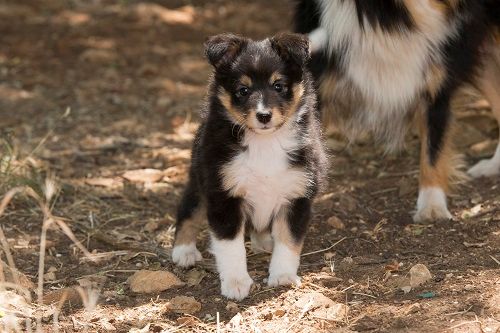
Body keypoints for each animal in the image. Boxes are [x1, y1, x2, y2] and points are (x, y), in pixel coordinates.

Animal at [172, 32, 328, 300]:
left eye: (278, 86)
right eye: (242, 90)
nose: (264, 115)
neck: (265, 143)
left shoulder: (297, 194)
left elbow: (289, 240)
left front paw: (283, 276)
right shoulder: (223, 194)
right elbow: (230, 246)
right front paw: (236, 283)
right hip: (199, 179)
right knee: (189, 210)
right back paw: (184, 251)